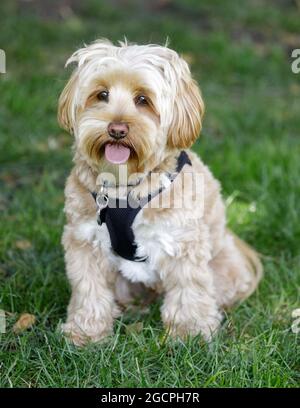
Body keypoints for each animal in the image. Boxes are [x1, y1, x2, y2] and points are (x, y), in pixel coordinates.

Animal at [56, 38, 262, 346]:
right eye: (102, 94)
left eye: (143, 99)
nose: (116, 129)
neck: (126, 185)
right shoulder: (84, 240)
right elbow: (88, 290)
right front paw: (85, 332)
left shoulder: (182, 243)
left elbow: (189, 289)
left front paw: (190, 334)